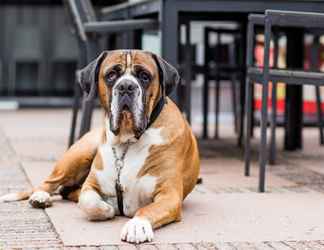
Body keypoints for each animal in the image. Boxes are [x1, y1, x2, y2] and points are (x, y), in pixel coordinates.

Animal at [0, 49, 200, 243]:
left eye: (144, 76)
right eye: (111, 75)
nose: (126, 86)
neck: (126, 142)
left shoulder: (169, 196)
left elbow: (147, 209)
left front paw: (137, 225)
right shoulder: (91, 186)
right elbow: (90, 203)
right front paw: (108, 209)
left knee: (65, 191)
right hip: (79, 154)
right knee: (50, 183)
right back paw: (40, 197)